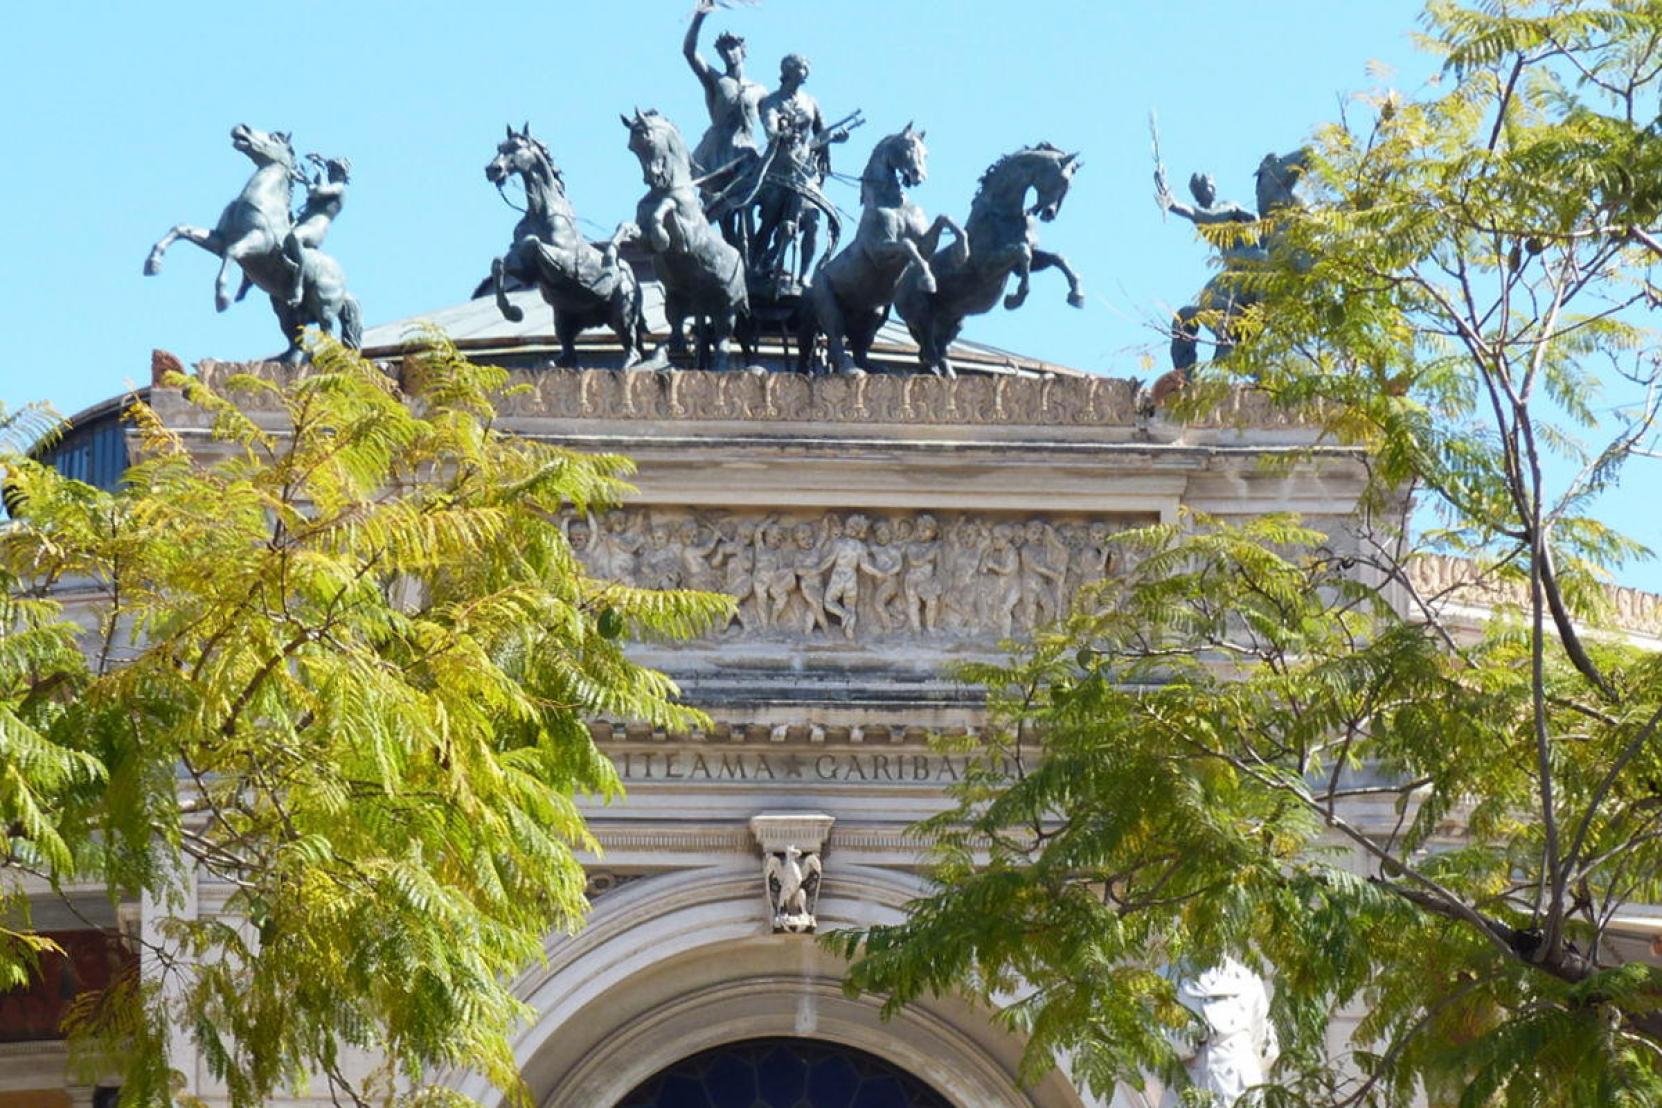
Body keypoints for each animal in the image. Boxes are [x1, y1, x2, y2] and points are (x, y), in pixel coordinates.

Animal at [485, 122, 644, 368]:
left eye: (516, 147)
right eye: (499, 147)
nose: (493, 170)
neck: (541, 213)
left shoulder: (564, 262)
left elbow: (532, 243)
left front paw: (513, 312)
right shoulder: (524, 270)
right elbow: (499, 262)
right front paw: (512, 312)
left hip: (622, 313)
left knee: (632, 348)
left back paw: (625, 366)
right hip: (563, 318)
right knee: (569, 352)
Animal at [611, 111, 747, 372]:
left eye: (648, 139)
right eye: (632, 147)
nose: (653, 177)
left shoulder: (688, 236)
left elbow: (666, 209)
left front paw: (662, 236)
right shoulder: (643, 240)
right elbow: (626, 227)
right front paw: (610, 255)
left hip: (726, 306)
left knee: (723, 339)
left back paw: (718, 367)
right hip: (679, 300)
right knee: (679, 330)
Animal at [801, 124, 963, 377]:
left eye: (926, 153)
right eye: (909, 146)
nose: (918, 176)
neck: (892, 203)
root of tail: (813, 280)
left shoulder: (925, 244)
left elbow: (943, 220)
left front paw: (962, 251)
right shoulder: (879, 252)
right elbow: (907, 246)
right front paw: (928, 281)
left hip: (874, 313)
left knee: (859, 347)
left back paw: (876, 368)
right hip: (829, 308)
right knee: (836, 339)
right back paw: (851, 370)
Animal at [904, 142, 1083, 378]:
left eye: (1069, 186)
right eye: (1062, 179)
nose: (1049, 213)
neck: (1005, 214)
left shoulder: (1020, 265)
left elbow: (1056, 258)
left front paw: (1076, 295)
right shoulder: (987, 265)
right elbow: (1022, 252)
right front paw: (1014, 299)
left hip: (953, 321)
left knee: (936, 350)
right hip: (922, 315)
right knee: (929, 350)